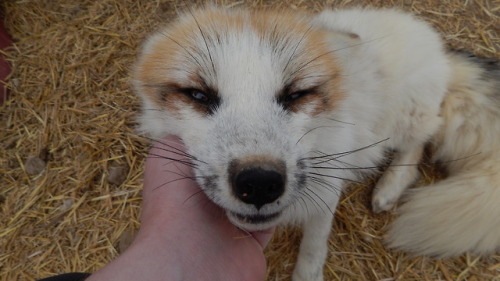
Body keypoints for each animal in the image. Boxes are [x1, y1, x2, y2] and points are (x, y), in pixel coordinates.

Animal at [132, 6, 500, 280]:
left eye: (297, 94)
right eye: (198, 95)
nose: (259, 183)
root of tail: (438, 47)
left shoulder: (327, 192)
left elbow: (314, 246)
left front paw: (307, 274)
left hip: (403, 120)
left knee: (420, 143)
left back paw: (390, 188)